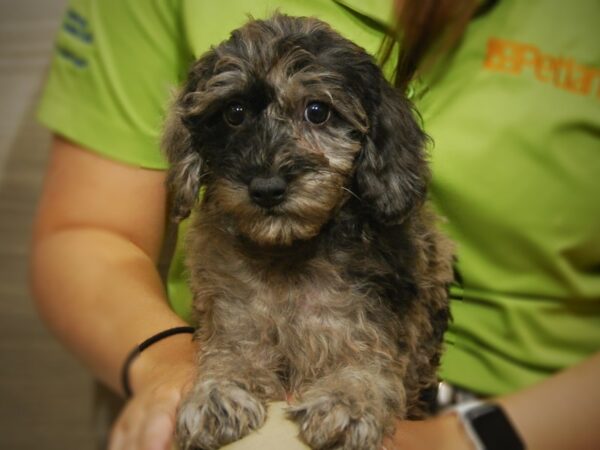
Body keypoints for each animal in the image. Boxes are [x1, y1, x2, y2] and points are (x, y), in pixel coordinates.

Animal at [162, 13, 452, 450]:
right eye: (234, 112)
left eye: (318, 111)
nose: (267, 188)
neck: (288, 253)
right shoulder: (236, 319)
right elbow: (231, 355)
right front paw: (217, 393)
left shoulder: (373, 327)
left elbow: (369, 364)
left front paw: (347, 401)